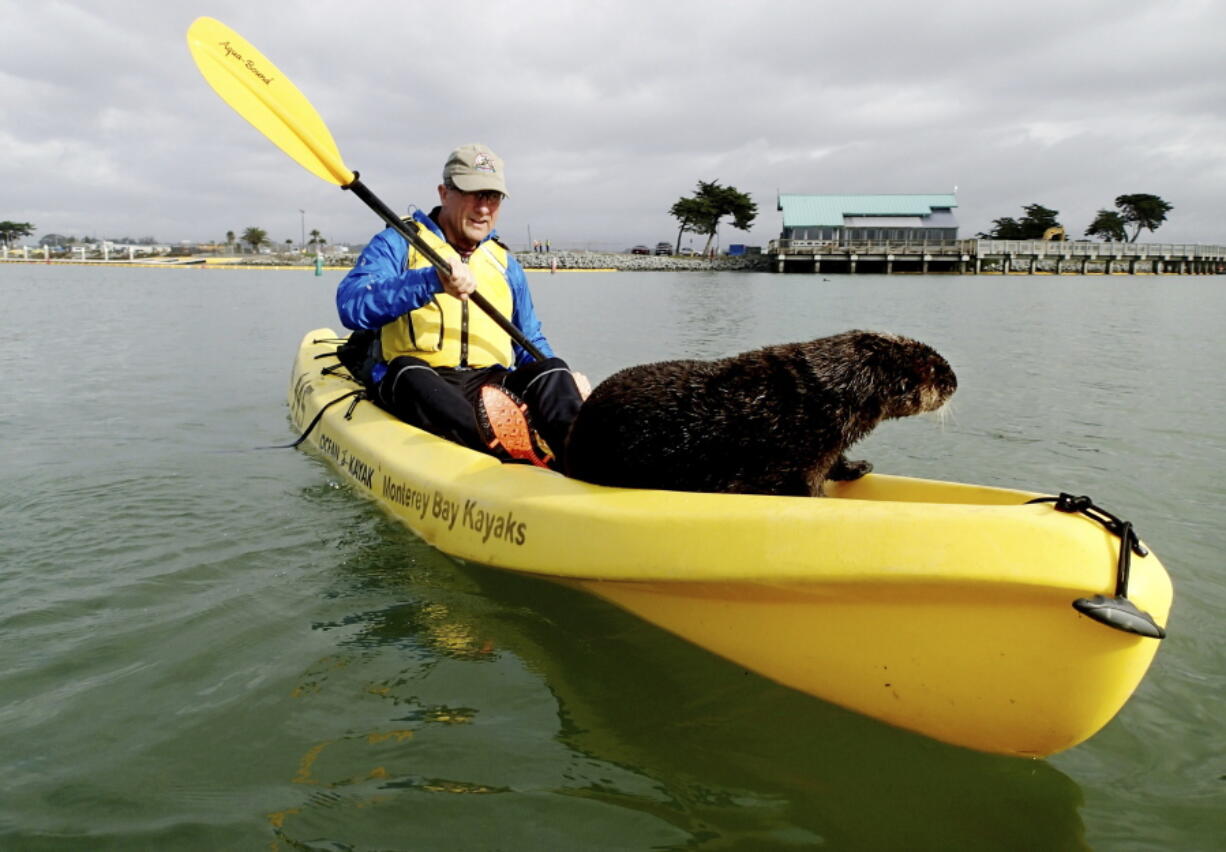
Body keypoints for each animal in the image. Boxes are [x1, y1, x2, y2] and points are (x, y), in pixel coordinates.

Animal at [563, 330, 956, 497]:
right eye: (936, 370)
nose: (954, 381)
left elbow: (837, 462)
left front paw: (860, 466)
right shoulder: (797, 455)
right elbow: (804, 488)